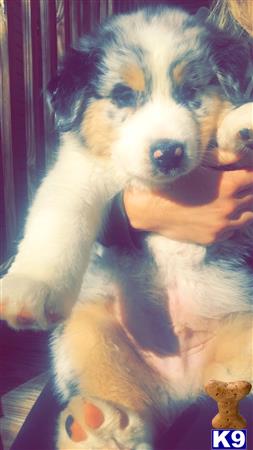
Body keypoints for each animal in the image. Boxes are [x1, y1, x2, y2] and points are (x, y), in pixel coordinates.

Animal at [1, 5, 253, 448]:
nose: (168, 153)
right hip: (87, 336)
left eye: (191, 91)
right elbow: (58, 221)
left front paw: (241, 123)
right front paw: (30, 287)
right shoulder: (78, 174)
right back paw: (96, 427)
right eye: (123, 96)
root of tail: (183, 389)